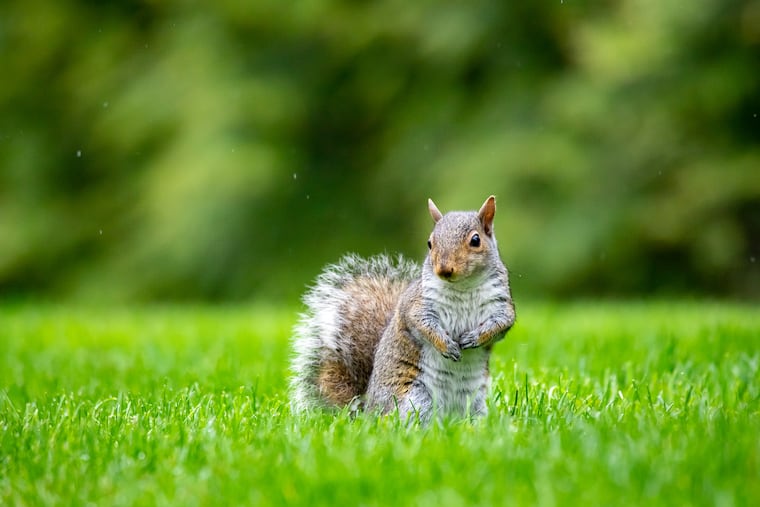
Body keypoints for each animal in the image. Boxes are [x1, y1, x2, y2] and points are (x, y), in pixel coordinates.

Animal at [289, 196, 516, 423]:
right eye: (430, 243)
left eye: (475, 240)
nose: (444, 269)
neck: (463, 286)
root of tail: (367, 411)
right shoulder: (417, 305)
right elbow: (422, 325)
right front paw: (446, 346)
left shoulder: (501, 304)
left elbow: (501, 325)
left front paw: (474, 338)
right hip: (415, 398)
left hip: (475, 403)